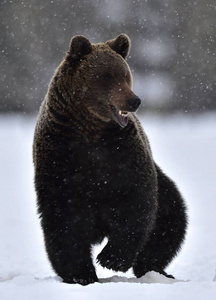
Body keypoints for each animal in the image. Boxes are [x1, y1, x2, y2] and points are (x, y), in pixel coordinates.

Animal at [32, 34, 187, 284]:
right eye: (106, 76)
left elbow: (136, 201)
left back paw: (155, 271)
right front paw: (80, 274)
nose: (134, 100)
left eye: (125, 74)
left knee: (169, 221)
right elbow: (64, 218)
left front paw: (111, 258)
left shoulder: (122, 153)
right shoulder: (59, 156)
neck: (90, 130)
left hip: (165, 189)